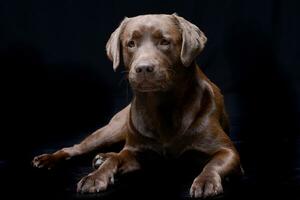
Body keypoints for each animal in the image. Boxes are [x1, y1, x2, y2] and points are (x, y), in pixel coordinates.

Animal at [32, 14, 243, 198]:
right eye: (130, 44)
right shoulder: (135, 152)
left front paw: (206, 181)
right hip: (110, 131)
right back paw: (49, 159)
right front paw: (95, 177)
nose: (143, 68)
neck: (162, 106)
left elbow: (213, 164)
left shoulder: (228, 152)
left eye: (164, 42)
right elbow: (118, 158)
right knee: (76, 148)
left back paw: (101, 156)